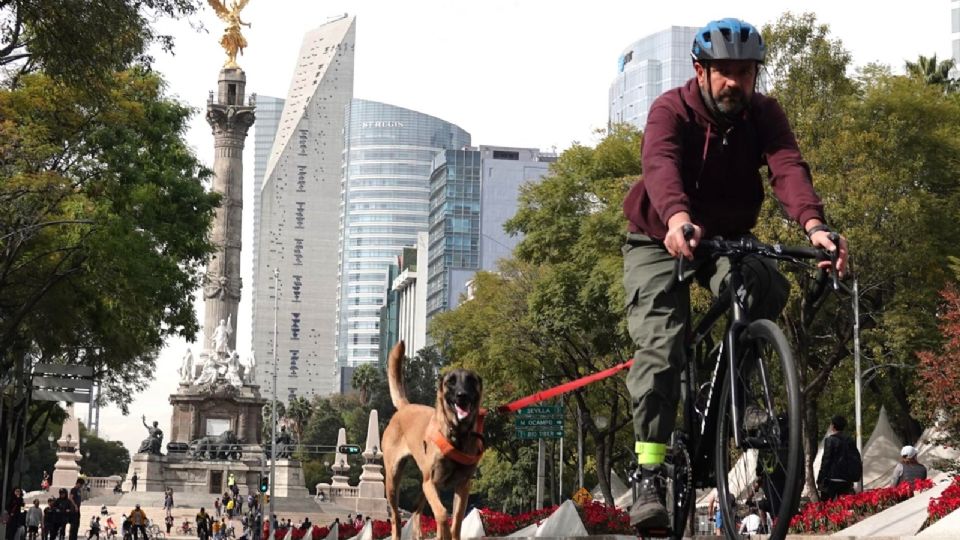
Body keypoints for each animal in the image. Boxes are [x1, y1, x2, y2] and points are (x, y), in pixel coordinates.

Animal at [380, 342, 484, 540]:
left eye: (470, 381)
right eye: (451, 381)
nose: (462, 395)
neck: (456, 435)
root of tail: (405, 407)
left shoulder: (462, 486)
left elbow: (456, 521)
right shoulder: (432, 484)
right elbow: (442, 514)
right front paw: (443, 534)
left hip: (423, 483)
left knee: (415, 510)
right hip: (394, 479)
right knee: (396, 517)